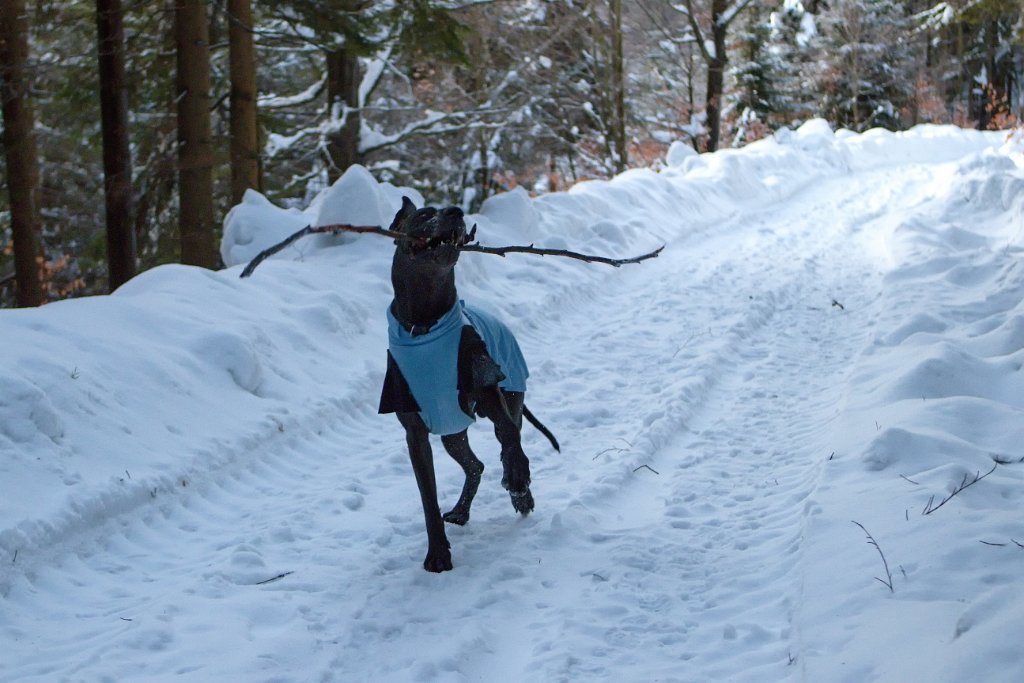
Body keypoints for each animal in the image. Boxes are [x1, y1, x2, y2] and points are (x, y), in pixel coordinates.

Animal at [380, 197, 561, 573]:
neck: (426, 321)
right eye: (423, 215)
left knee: (509, 438)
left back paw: (520, 491)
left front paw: (518, 478)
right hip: (452, 434)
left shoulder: (488, 389)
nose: (455, 211)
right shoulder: (415, 435)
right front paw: (437, 553)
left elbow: (508, 434)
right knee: (475, 466)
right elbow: (428, 498)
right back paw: (462, 511)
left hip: (510, 394)